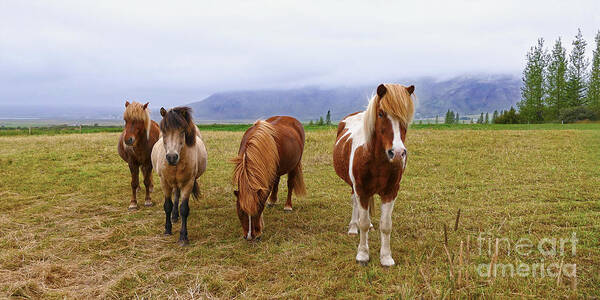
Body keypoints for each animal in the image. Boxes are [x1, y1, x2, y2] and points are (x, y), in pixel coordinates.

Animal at [152, 106, 209, 245]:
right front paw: (167, 229)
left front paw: (183, 237)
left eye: (182, 131)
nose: (172, 157)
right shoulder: (164, 182)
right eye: (164, 131)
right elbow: (167, 205)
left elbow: (184, 209)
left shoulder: (188, 183)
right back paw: (174, 216)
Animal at [330, 83, 414, 266]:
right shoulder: (361, 189)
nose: (398, 153)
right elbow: (362, 222)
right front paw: (362, 254)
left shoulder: (391, 192)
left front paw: (386, 257)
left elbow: (386, 225)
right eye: (381, 113)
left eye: (406, 115)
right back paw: (353, 228)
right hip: (354, 186)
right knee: (355, 204)